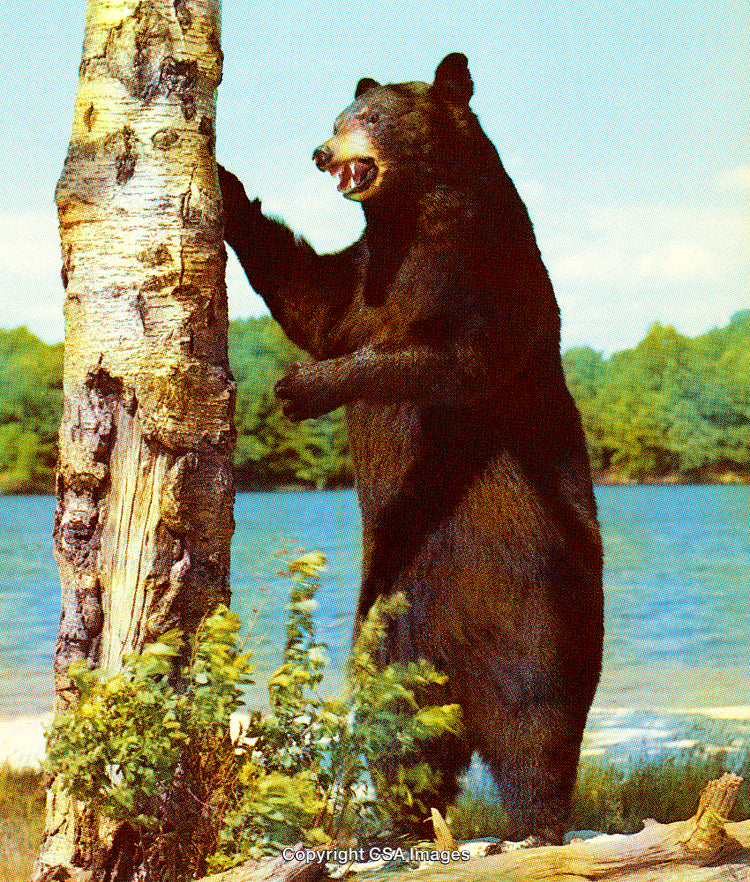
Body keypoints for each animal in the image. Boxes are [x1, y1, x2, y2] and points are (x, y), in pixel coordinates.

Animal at [218, 52, 604, 847]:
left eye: (370, 118)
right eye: (338, 115)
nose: (322, 151)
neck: (411, 219)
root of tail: (456, 671)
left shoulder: (484, 267)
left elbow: (452, 359)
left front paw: (305, 386)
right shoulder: (369, 269)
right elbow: (314, 300)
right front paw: (225, 182)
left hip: (538, 594)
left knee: (537, 714)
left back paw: (536, 824)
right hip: (387, 621)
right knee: (396, 724)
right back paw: (400, 822)